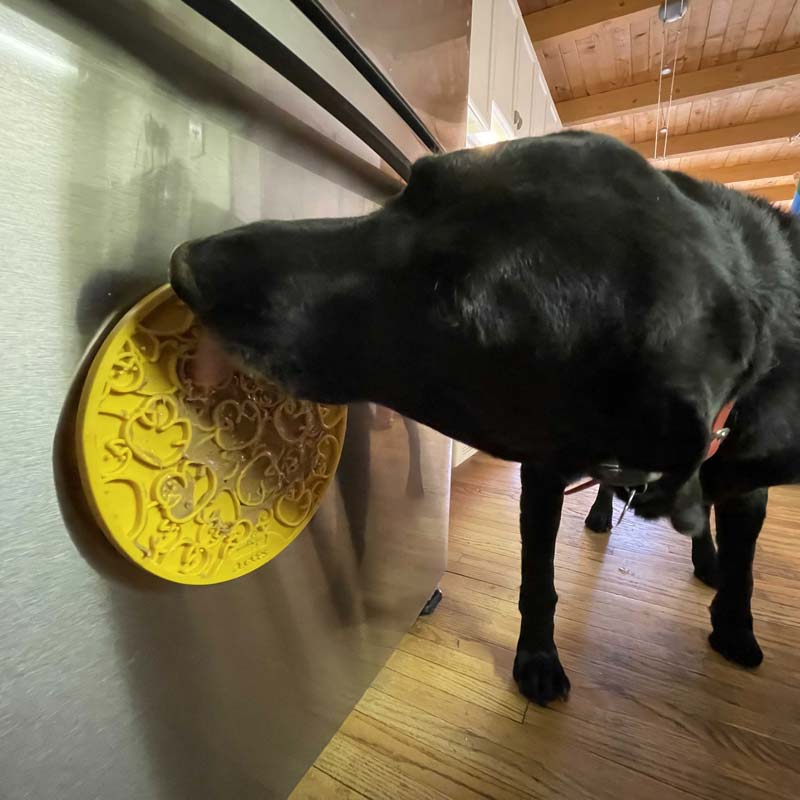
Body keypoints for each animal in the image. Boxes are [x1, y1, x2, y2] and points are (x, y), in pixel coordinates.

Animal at [169, 131, 800, 708]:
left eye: (452, 303)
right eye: (412, 185)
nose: (188, 266)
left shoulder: (749, 487)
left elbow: (743, 567)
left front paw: (734, 628)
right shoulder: (543, 476)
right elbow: (540, 581)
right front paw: (539, 657)